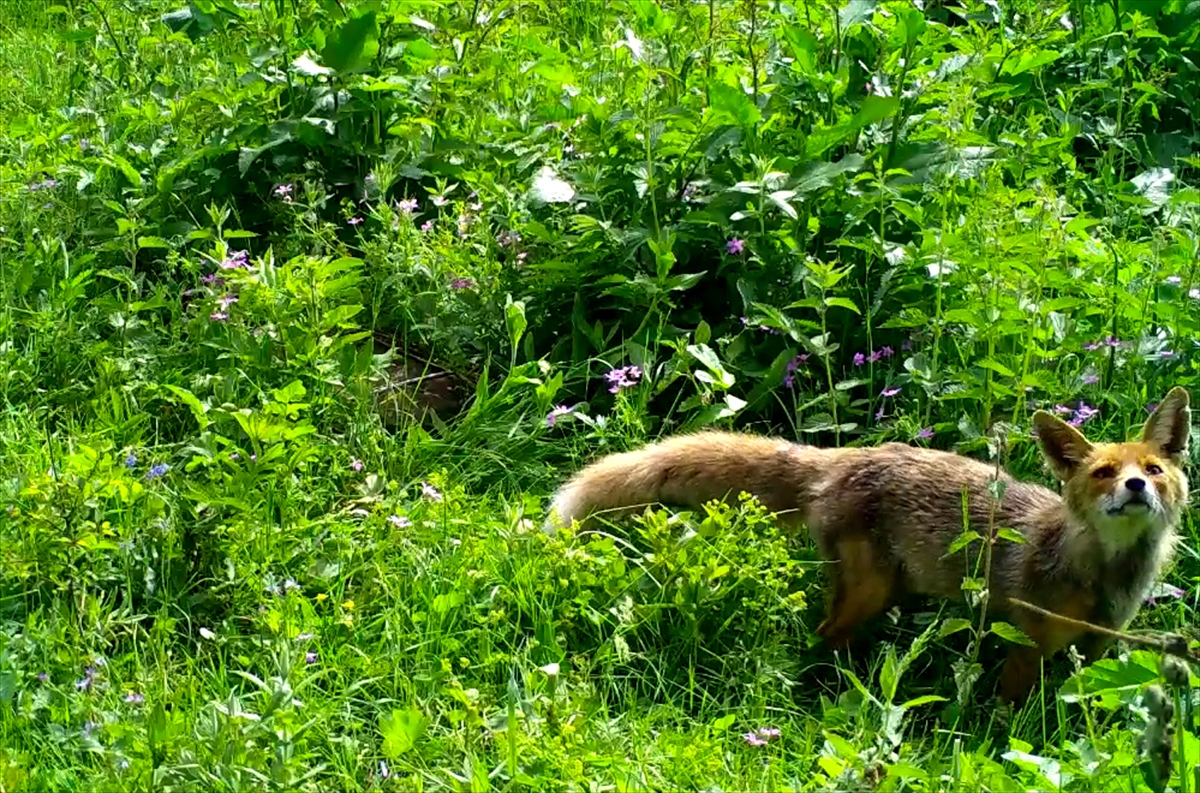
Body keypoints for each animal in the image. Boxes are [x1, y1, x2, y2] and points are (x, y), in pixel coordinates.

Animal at [547, 388, 1190, 700]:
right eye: (1104, 473)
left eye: (1154, 470)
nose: (1135, 487)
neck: (1100, 577)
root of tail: (846, 456)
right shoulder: (1024, 646)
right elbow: (1007, 718)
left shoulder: (1102, 648)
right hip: (868, 592)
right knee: (823, 637)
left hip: (891, 592)